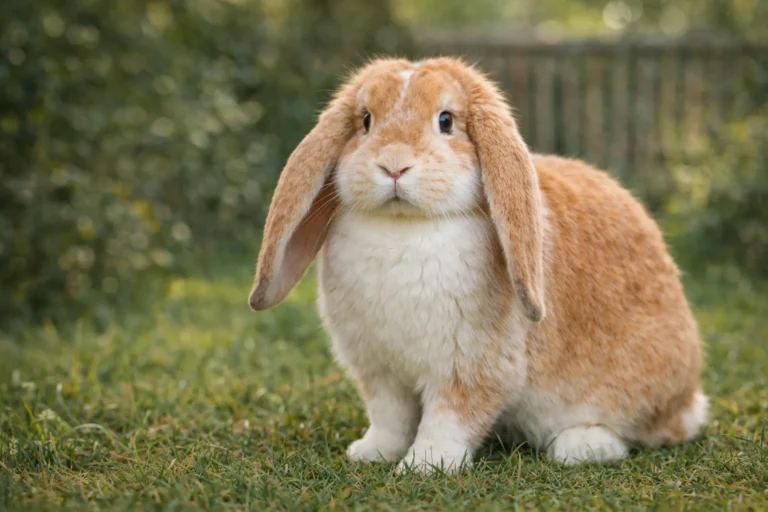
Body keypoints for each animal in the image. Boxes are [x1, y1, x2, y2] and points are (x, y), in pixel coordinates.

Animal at [248, 57, 709, 473]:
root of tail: (689, 398)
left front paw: (424, 466)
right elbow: (390, 419)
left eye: (446, 120)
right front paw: (371, 453)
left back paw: (581, 447)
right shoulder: (380, 370)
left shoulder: (470, 368)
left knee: (651, 430)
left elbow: (448, 421)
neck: (405, 227)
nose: (393, 164)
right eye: (365, 121)